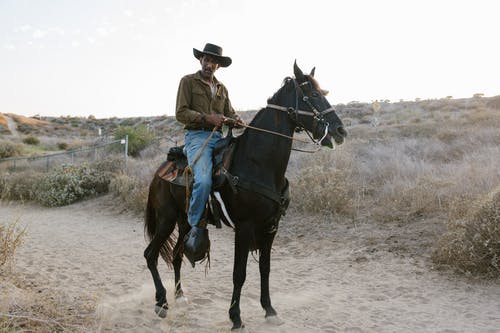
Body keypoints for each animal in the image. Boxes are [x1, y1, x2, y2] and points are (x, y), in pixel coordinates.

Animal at [143, 62, 346, 330]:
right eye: (312, 94)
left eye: (324, 92)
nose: (340, 130)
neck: (258, 163)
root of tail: (159, 172)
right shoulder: (245, 227)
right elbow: (239, 273)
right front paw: (236, 317)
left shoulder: (271, 227)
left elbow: (265, 269)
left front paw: (270, 310)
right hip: (166, 219)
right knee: (151, 254)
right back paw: (161, 302)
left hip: (184, 220)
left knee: (176, 256)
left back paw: (180, 296)